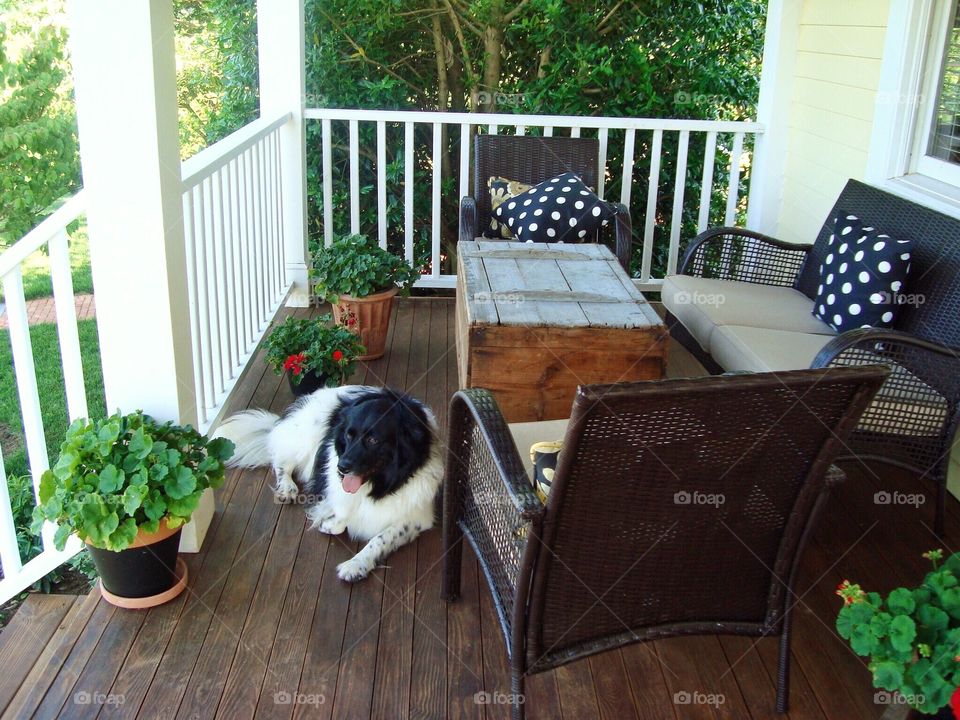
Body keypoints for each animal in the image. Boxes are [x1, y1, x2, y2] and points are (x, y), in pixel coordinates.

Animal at [216, 386, 444, 584]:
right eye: (349, 435)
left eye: (373, 440)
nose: (342, 467)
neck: (383, 482)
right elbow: (343, 509)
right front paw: (330, 521)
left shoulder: (416, 517)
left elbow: (380, 538)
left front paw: (356, 564)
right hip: (304, 438)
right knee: (281, 459)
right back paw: (287, 488)